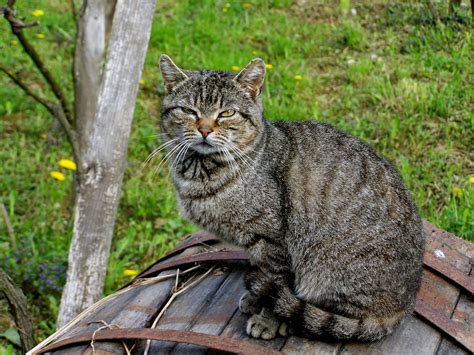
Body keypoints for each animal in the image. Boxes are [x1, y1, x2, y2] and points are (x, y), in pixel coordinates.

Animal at [156, 55, 426, 342]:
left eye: (226, 113)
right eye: (189, 111)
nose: (205, 130)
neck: (202, 170)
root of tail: (406, 304)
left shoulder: (272, 240)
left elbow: (277, 279)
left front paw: (268, 320)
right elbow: (264, 276)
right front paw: (256, 299)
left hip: (327, 269)